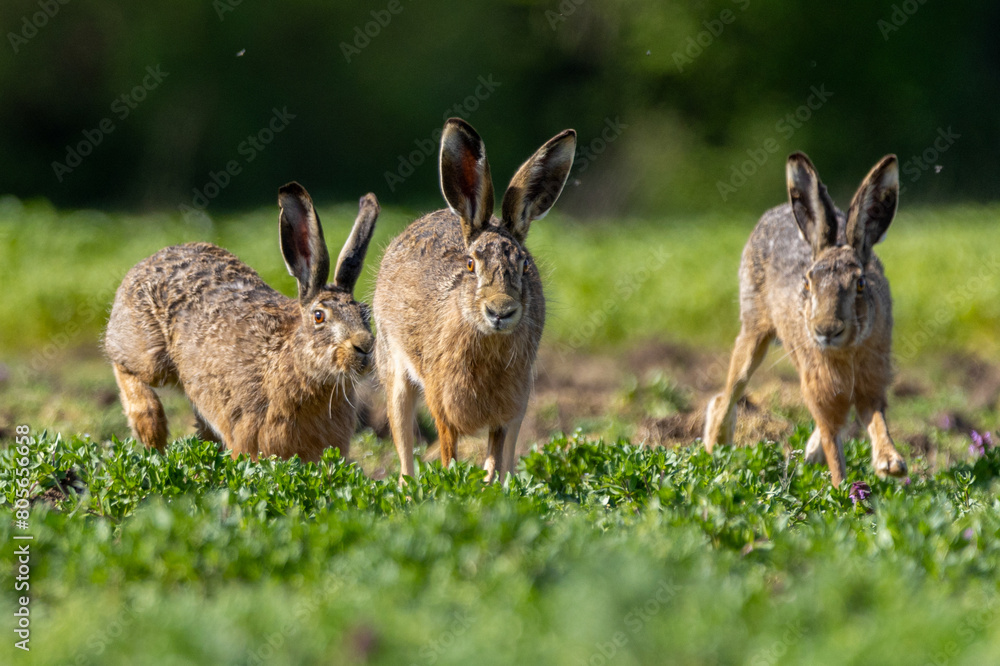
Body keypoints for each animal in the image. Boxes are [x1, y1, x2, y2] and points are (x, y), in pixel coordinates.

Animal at [103, 183, 379, 462]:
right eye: (319, 316)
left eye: (366, 313)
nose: (365, 346)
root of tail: (149, 260)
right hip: (147, 353)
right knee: (123, 364)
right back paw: (151, 429)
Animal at [373, 118, 576, 483]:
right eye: (470, 264)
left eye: (525, 266)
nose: (501, 311)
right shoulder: (442, 403)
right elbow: (448, 452)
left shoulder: (506, 411)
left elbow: (494, 457)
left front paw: (489, 487)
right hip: (393, 373)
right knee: (403, 443)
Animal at [703, 152, 908, 486]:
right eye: (808, 283)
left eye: (860, 284)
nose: (826, 330)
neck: (844, 352)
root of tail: (776, 211)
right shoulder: (820, 395)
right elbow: (833, 447)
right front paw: (843, 490)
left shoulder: (872, 385)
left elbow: (876, 421)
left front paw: (891, 464)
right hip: (754, 332)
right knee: (728, 394)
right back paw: (714, 453)